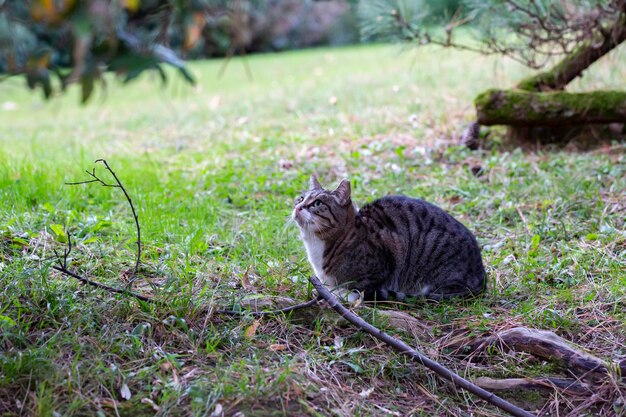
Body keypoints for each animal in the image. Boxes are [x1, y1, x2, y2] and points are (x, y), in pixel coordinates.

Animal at [290, 174, 486, 300]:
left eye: (317, 203)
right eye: (300, 198)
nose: (298, 207)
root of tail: (481, 274)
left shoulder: (382, 263)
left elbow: (360, 289)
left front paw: (340, 293)